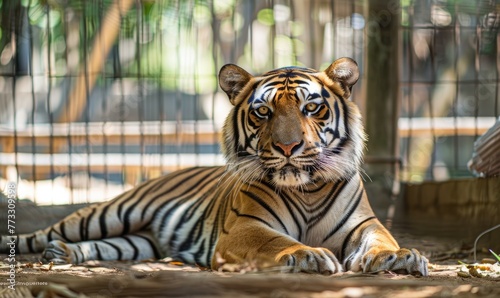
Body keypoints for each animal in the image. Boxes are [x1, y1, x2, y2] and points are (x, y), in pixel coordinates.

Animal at [1, 58, 428, 274]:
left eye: (312, 107)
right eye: (263, 111)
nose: (288, 146)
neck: (305, 188)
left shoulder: (364, 224)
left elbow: (383, 239)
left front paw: (399, 256)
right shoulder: (244, 229)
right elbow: (277, 241)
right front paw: (308, 255)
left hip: (139, 238)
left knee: (109, 246)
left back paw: (63, 255)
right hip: (110, 212)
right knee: (46, 232)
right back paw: (34, 246)